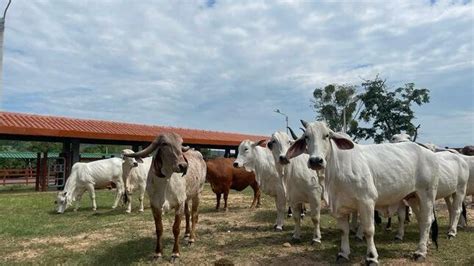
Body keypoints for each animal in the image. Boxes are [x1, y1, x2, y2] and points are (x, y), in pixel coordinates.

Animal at [122, 133, 206, 262]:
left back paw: (191, 239)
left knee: (194, 216)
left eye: (181, 143)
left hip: (197, 193)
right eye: (164, 143)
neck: (165, 182)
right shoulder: (155, 205)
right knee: (187, 214)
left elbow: (176, 228)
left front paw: (175, 253)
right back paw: (187, 234)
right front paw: (158, 253)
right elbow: (159, 229)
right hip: (187, 198)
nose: (183, 166)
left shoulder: (179, 204)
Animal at [284, 120, 438, 264]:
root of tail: (427, 150)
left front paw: (371, 257)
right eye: (306, 137)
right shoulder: (339, 206)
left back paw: (420, 252)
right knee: (422, 219)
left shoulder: (367, 202)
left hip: (427, 194)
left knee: (426, 220)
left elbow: (369, 230)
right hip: (413, 197)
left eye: (326, 135)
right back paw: (424, 245)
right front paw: (343, 253)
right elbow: (344, 230)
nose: (316, 161)